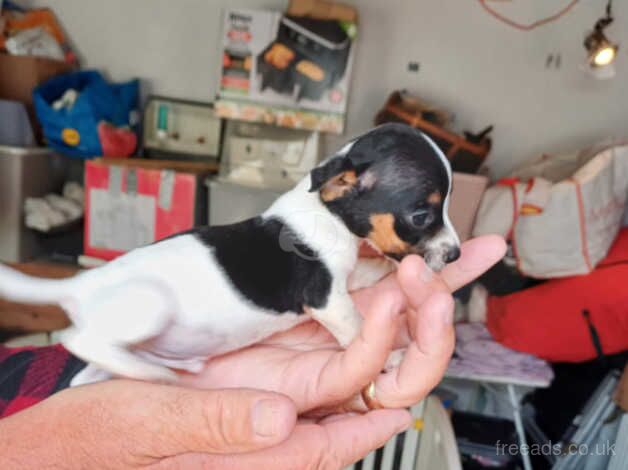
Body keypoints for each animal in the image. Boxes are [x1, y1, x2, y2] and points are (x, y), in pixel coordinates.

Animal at [0, 122, 462, 386]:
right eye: (421, 214)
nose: (456, 255)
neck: (326, 214)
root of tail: (81, 284)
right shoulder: (327, 300)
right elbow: (357, 329)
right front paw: (387, 357)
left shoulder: (343, 279)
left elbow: (372, 268)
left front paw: (392, 266)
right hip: (149, 305)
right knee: (75, 339)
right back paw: (154, 372)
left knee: (87, 368)